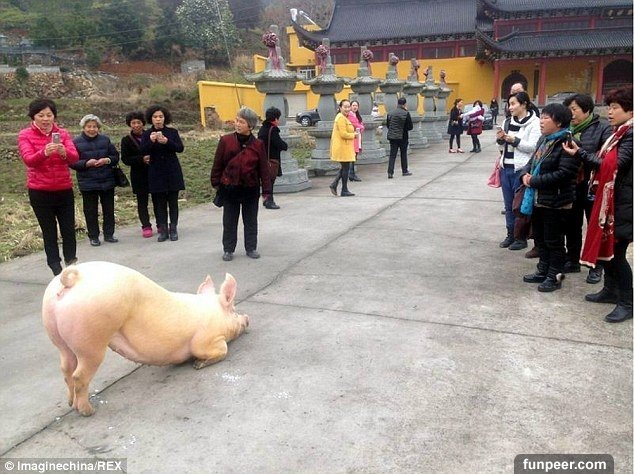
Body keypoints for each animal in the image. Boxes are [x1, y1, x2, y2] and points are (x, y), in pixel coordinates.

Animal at [42, 261, 249, 416]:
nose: (247, 318)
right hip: (92, 341)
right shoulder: (206, 340)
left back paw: (71, 404)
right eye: (234, 310)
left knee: (66, 369)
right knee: (79, 375)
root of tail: (73, 279)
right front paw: (197, 365)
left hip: (58, 337)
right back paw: (88, 411)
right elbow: (220, 350)